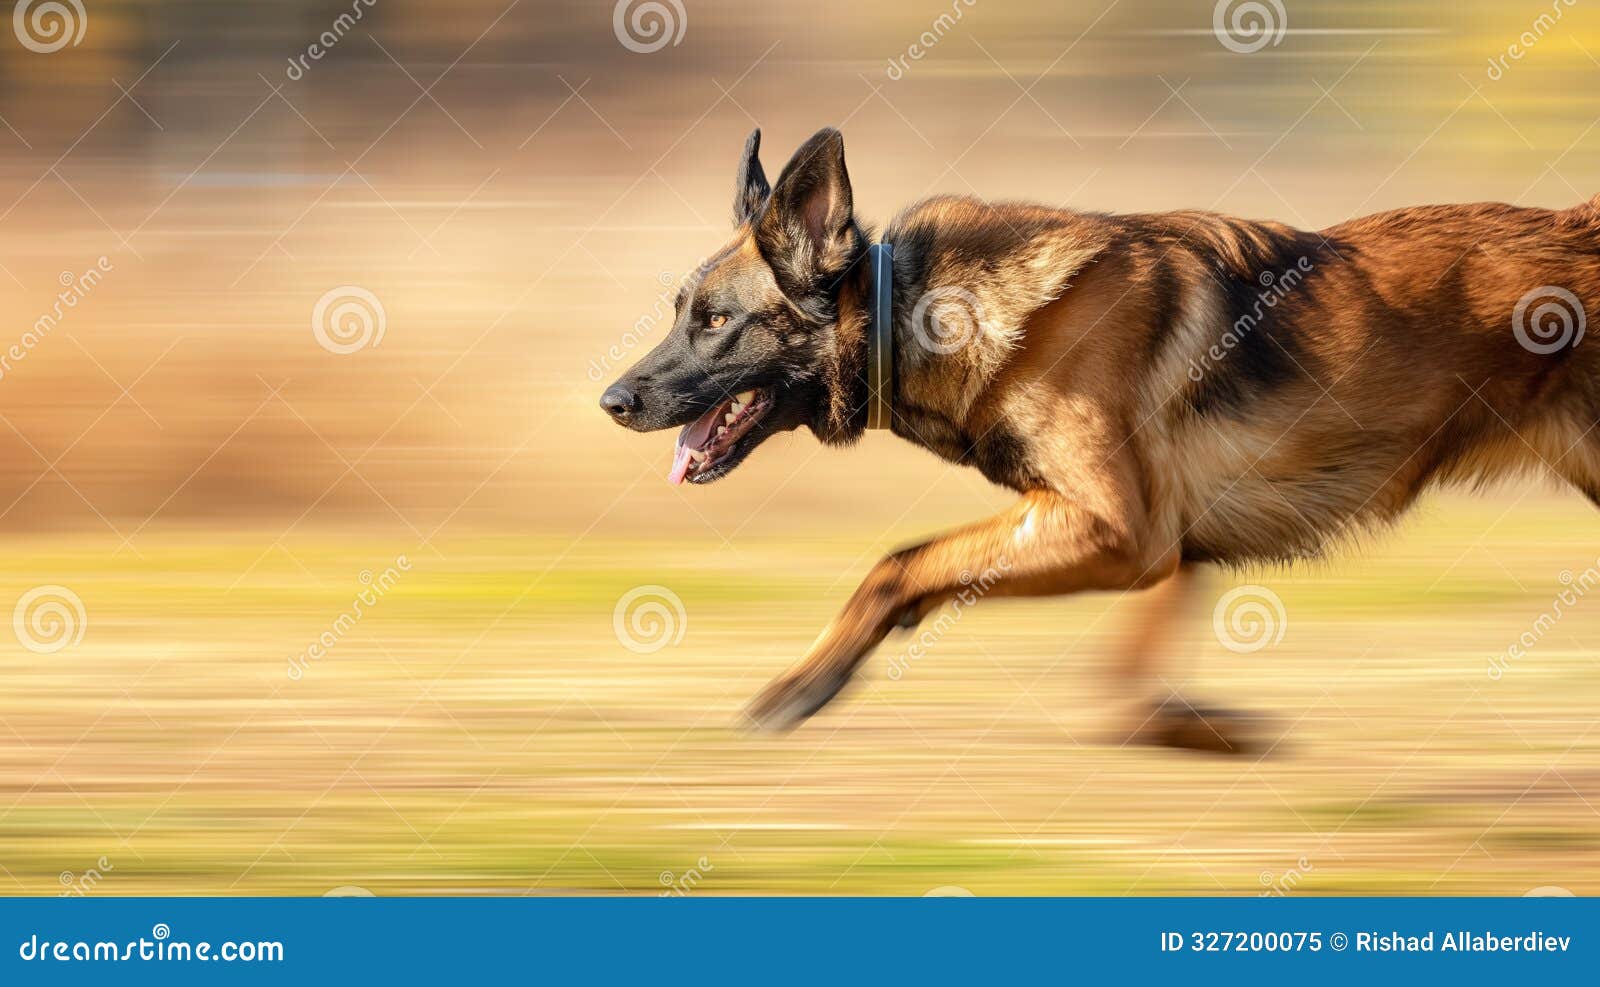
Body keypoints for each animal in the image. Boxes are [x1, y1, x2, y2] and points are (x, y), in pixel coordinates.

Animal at [601, 127, 1600, 751]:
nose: (613, 399)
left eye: (716, 321)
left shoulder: (1121, 530)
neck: (922, 309)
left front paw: (804, 685)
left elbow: (899, 563)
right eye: (680, 311)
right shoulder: (1163, 548)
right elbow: (1117, 687)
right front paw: (1201, 732)